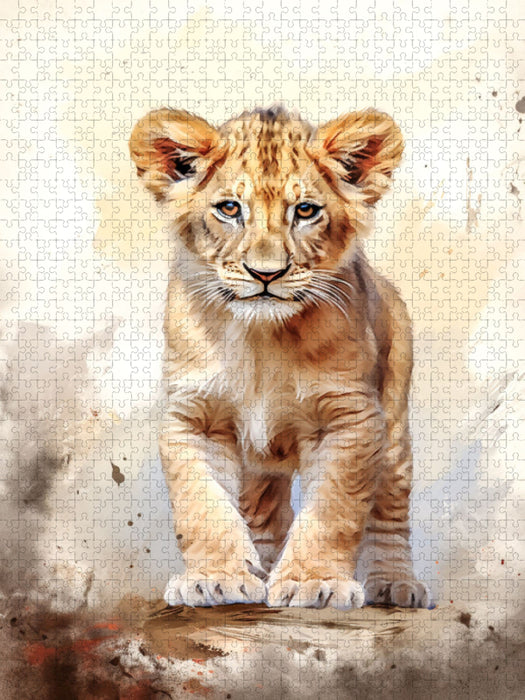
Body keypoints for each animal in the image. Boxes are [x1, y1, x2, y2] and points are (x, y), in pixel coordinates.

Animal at [129, 105, 430, 609]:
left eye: (305, 211)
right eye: (230, 209)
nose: (265, 274)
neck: (261, 341)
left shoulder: (350, 417)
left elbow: (333, 508)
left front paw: (316, 582)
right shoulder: (193, 415)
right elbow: (201, 504)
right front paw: (214, 577)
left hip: (392, 427)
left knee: (390, 506)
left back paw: (395, 584)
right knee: (264, 512)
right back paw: (262, 573)